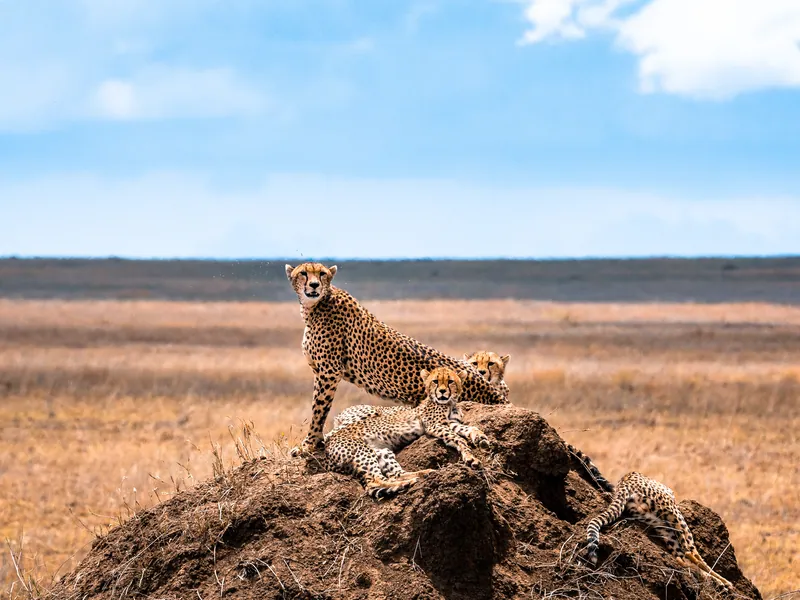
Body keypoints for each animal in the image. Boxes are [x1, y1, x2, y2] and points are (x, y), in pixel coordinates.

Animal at [285, 262, 507, 456]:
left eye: (322, 274)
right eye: (303, 273)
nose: (314, 285)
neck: (315, 306)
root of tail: (499, 396)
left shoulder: (329, 372)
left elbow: (319, 409)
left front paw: (309, 445)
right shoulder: (321, 371)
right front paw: (313, 443)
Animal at [324, 366, 491, 499]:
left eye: (450, 381)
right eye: (435, 381)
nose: (442, 392)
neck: (449, 403)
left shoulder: (451, 423)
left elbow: (469, 429)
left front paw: (480, 438)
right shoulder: (435, 425)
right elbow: (458, 438)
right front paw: (470, 457)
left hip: (382, 452)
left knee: (393, 475)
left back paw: (422, 474)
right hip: (362, 451)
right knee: (374, 481)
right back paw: (408, 483)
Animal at [586, 471, 734, 589]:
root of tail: (625, 480)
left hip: (659, 524)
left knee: (680, 558)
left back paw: (714, 580)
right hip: (673, 513)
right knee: (690, 552)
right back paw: (723, 582)